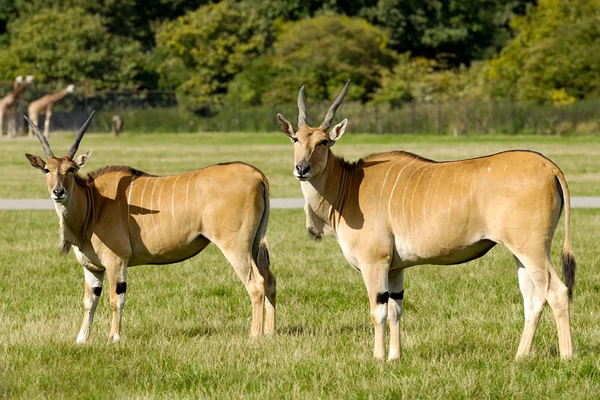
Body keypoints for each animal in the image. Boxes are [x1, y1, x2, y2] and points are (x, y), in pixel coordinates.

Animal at [24, 113, 276, 344]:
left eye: (72, 169)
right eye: (47, 170)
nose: (58, 192)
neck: (94, 203)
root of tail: (255, 174)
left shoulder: (117, 261)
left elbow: (116, 299)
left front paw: (114, 338)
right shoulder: (92, 268)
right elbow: (89, 301)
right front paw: (81, 340)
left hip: (236, 247)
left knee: (256, 284)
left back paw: (255, 335)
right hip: (254, 244)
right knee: (270, 279)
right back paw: (269, 332)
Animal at [276, 79, 576, 360]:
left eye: (324, 142)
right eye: (296, 139)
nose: (301, 168)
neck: (349, 185)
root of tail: (549, 166)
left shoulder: (374, 263)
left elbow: (378, 311)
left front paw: (378, 358)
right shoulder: (395, 269)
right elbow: (396, 310)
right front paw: (394, 357)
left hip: (533, 250)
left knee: (557, 292)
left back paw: (566, 356)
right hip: (520, 254)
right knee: (534, 299)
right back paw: (520, 357)